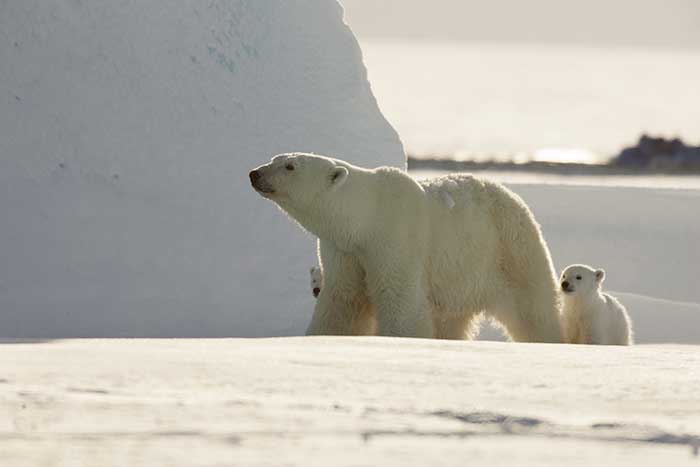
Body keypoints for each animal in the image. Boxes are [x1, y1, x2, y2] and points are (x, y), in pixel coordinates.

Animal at [249, 155, 560, 342]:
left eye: (290, 166)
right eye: (275, 158)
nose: (254, 173)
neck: (366, 216)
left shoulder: (394, 237)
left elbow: (400, 299)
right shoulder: (344, 251)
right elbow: (343, 300)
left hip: (509, 249)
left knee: (533, 308)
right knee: (451, 320)